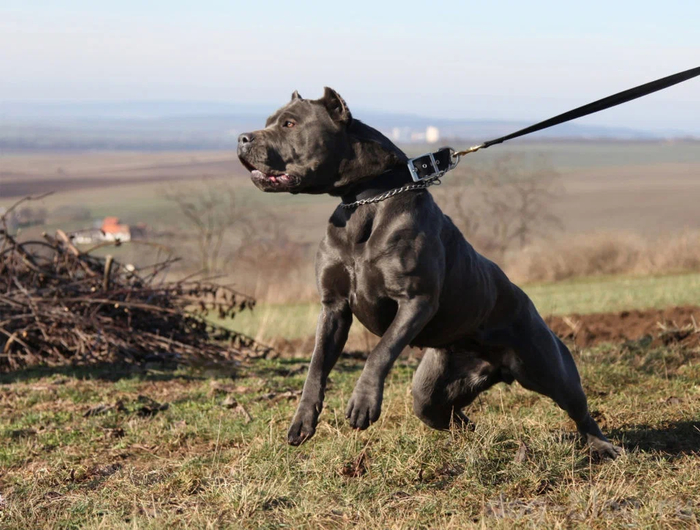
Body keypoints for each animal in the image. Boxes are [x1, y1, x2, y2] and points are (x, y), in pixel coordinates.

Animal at [238, 87, 620, 458]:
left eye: (289, 124)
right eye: (270, 121)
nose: (242, 137)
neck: (365, 201)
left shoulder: (415, 300)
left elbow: (380, 352)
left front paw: (363, 401)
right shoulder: (333, 307)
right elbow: (316, 366)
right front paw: (303, 419)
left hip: (549, 368)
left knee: (578, 408)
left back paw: (602, 446)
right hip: (432, 392)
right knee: (453, 415)